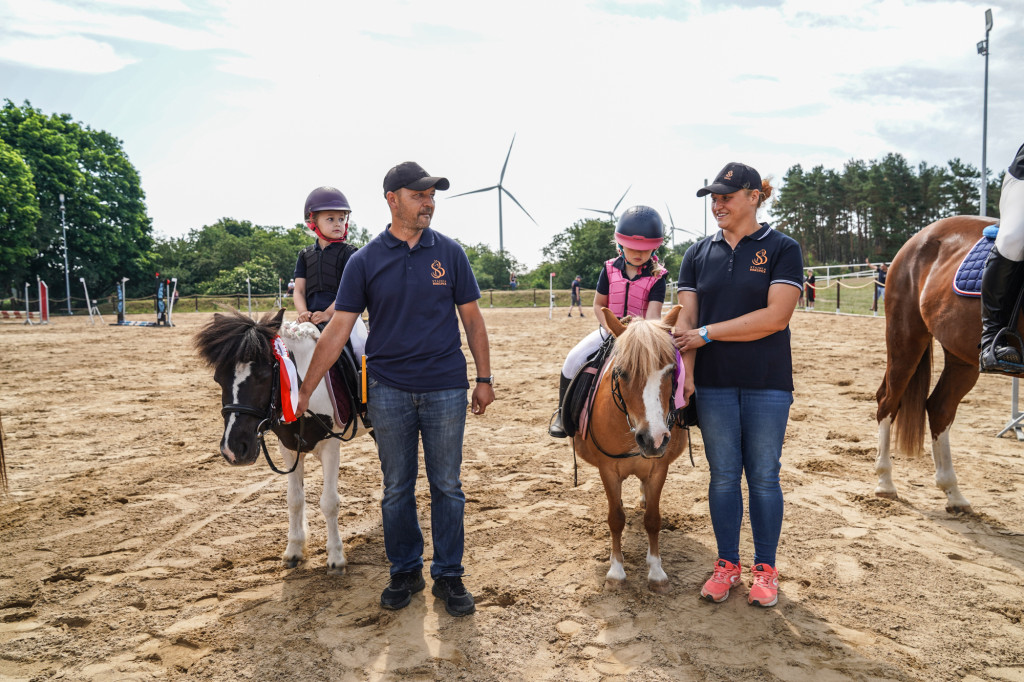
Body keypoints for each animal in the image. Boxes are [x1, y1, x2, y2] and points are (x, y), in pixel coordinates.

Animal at [192, 307, 368, 569]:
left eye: (264, 376)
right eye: (218, 378)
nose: (233, 450)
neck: (305, 387)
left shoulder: (330, 446)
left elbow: (329, 502)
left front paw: (336, 557)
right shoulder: (289, 447)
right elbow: (294, 499)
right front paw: (294, 550)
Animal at [577, 303, 688, 589]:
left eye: (671, 371)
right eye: (622, 372)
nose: (654, 438)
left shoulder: (658, 468)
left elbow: (653, 519)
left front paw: (657, 571)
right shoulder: (607, 470)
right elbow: (616, 518)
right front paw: (616, 571)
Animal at [876, 214, 1003, 509]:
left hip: (961, 356)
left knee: (939, 407)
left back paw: (952, 492)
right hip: (906, 340)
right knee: (888, 401)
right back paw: (885, 482)